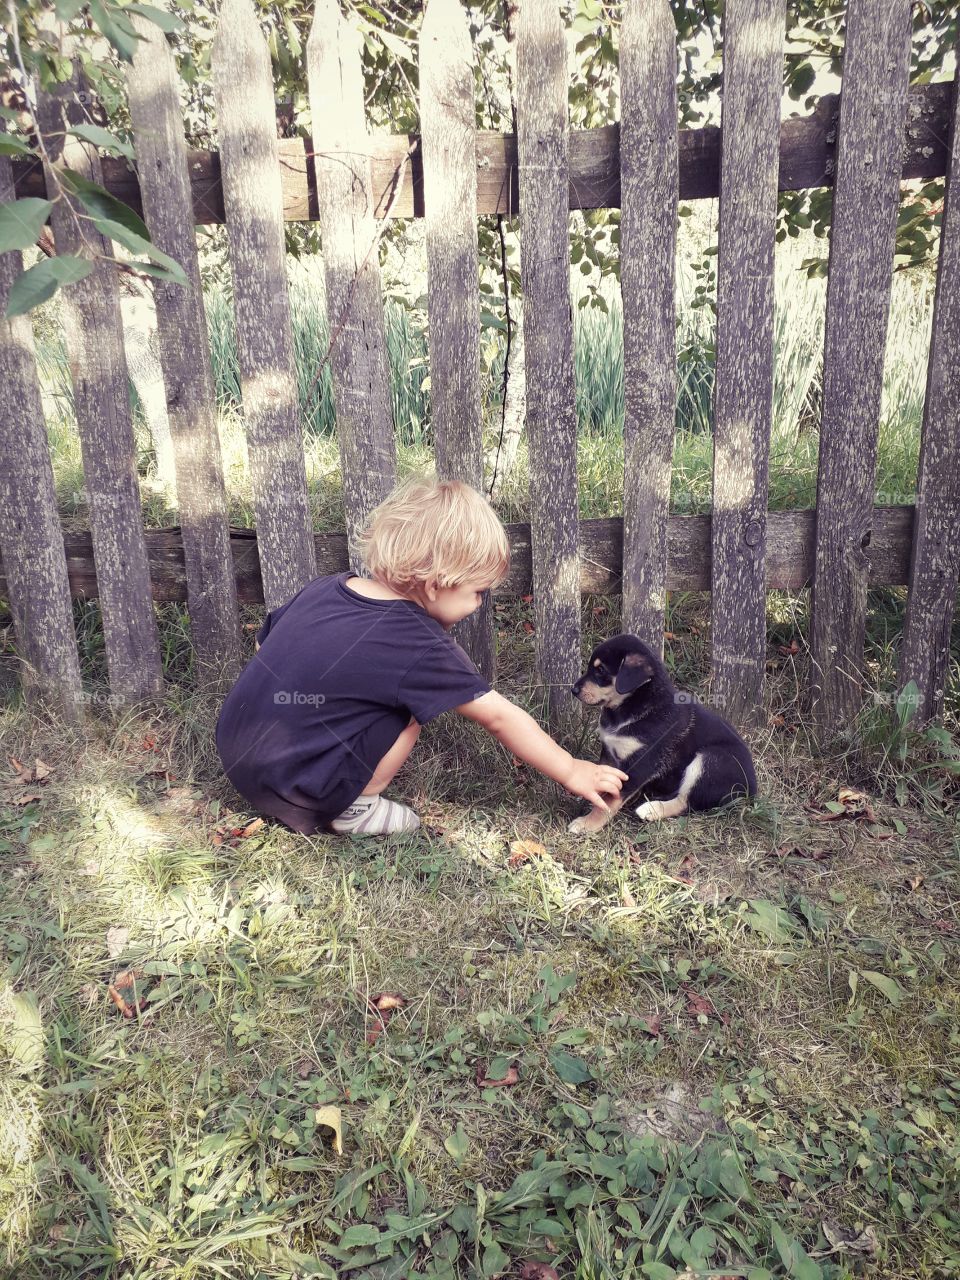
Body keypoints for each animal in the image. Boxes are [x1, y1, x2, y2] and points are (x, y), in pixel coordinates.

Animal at [570, 634, 757, 834]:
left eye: (601, 670)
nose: (573, 690)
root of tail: (752, 790)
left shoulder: (639, 764)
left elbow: (609, 800)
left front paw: (587, 823)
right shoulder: (609, 754)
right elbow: (603, 781)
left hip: (711, 759)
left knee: (685, 802)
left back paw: (651, 809)